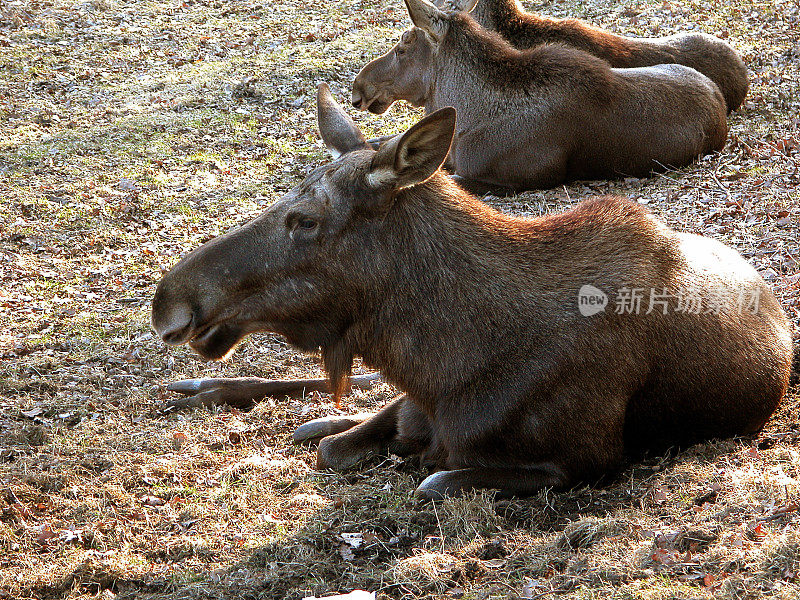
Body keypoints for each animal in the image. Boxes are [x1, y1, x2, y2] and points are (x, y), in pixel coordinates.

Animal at [153, 83, 796, 496]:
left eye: (305, 219)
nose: (168, 302)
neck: (443, 366)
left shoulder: (581, 460)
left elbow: (432, 479)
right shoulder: (414, 402)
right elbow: (334, 445)